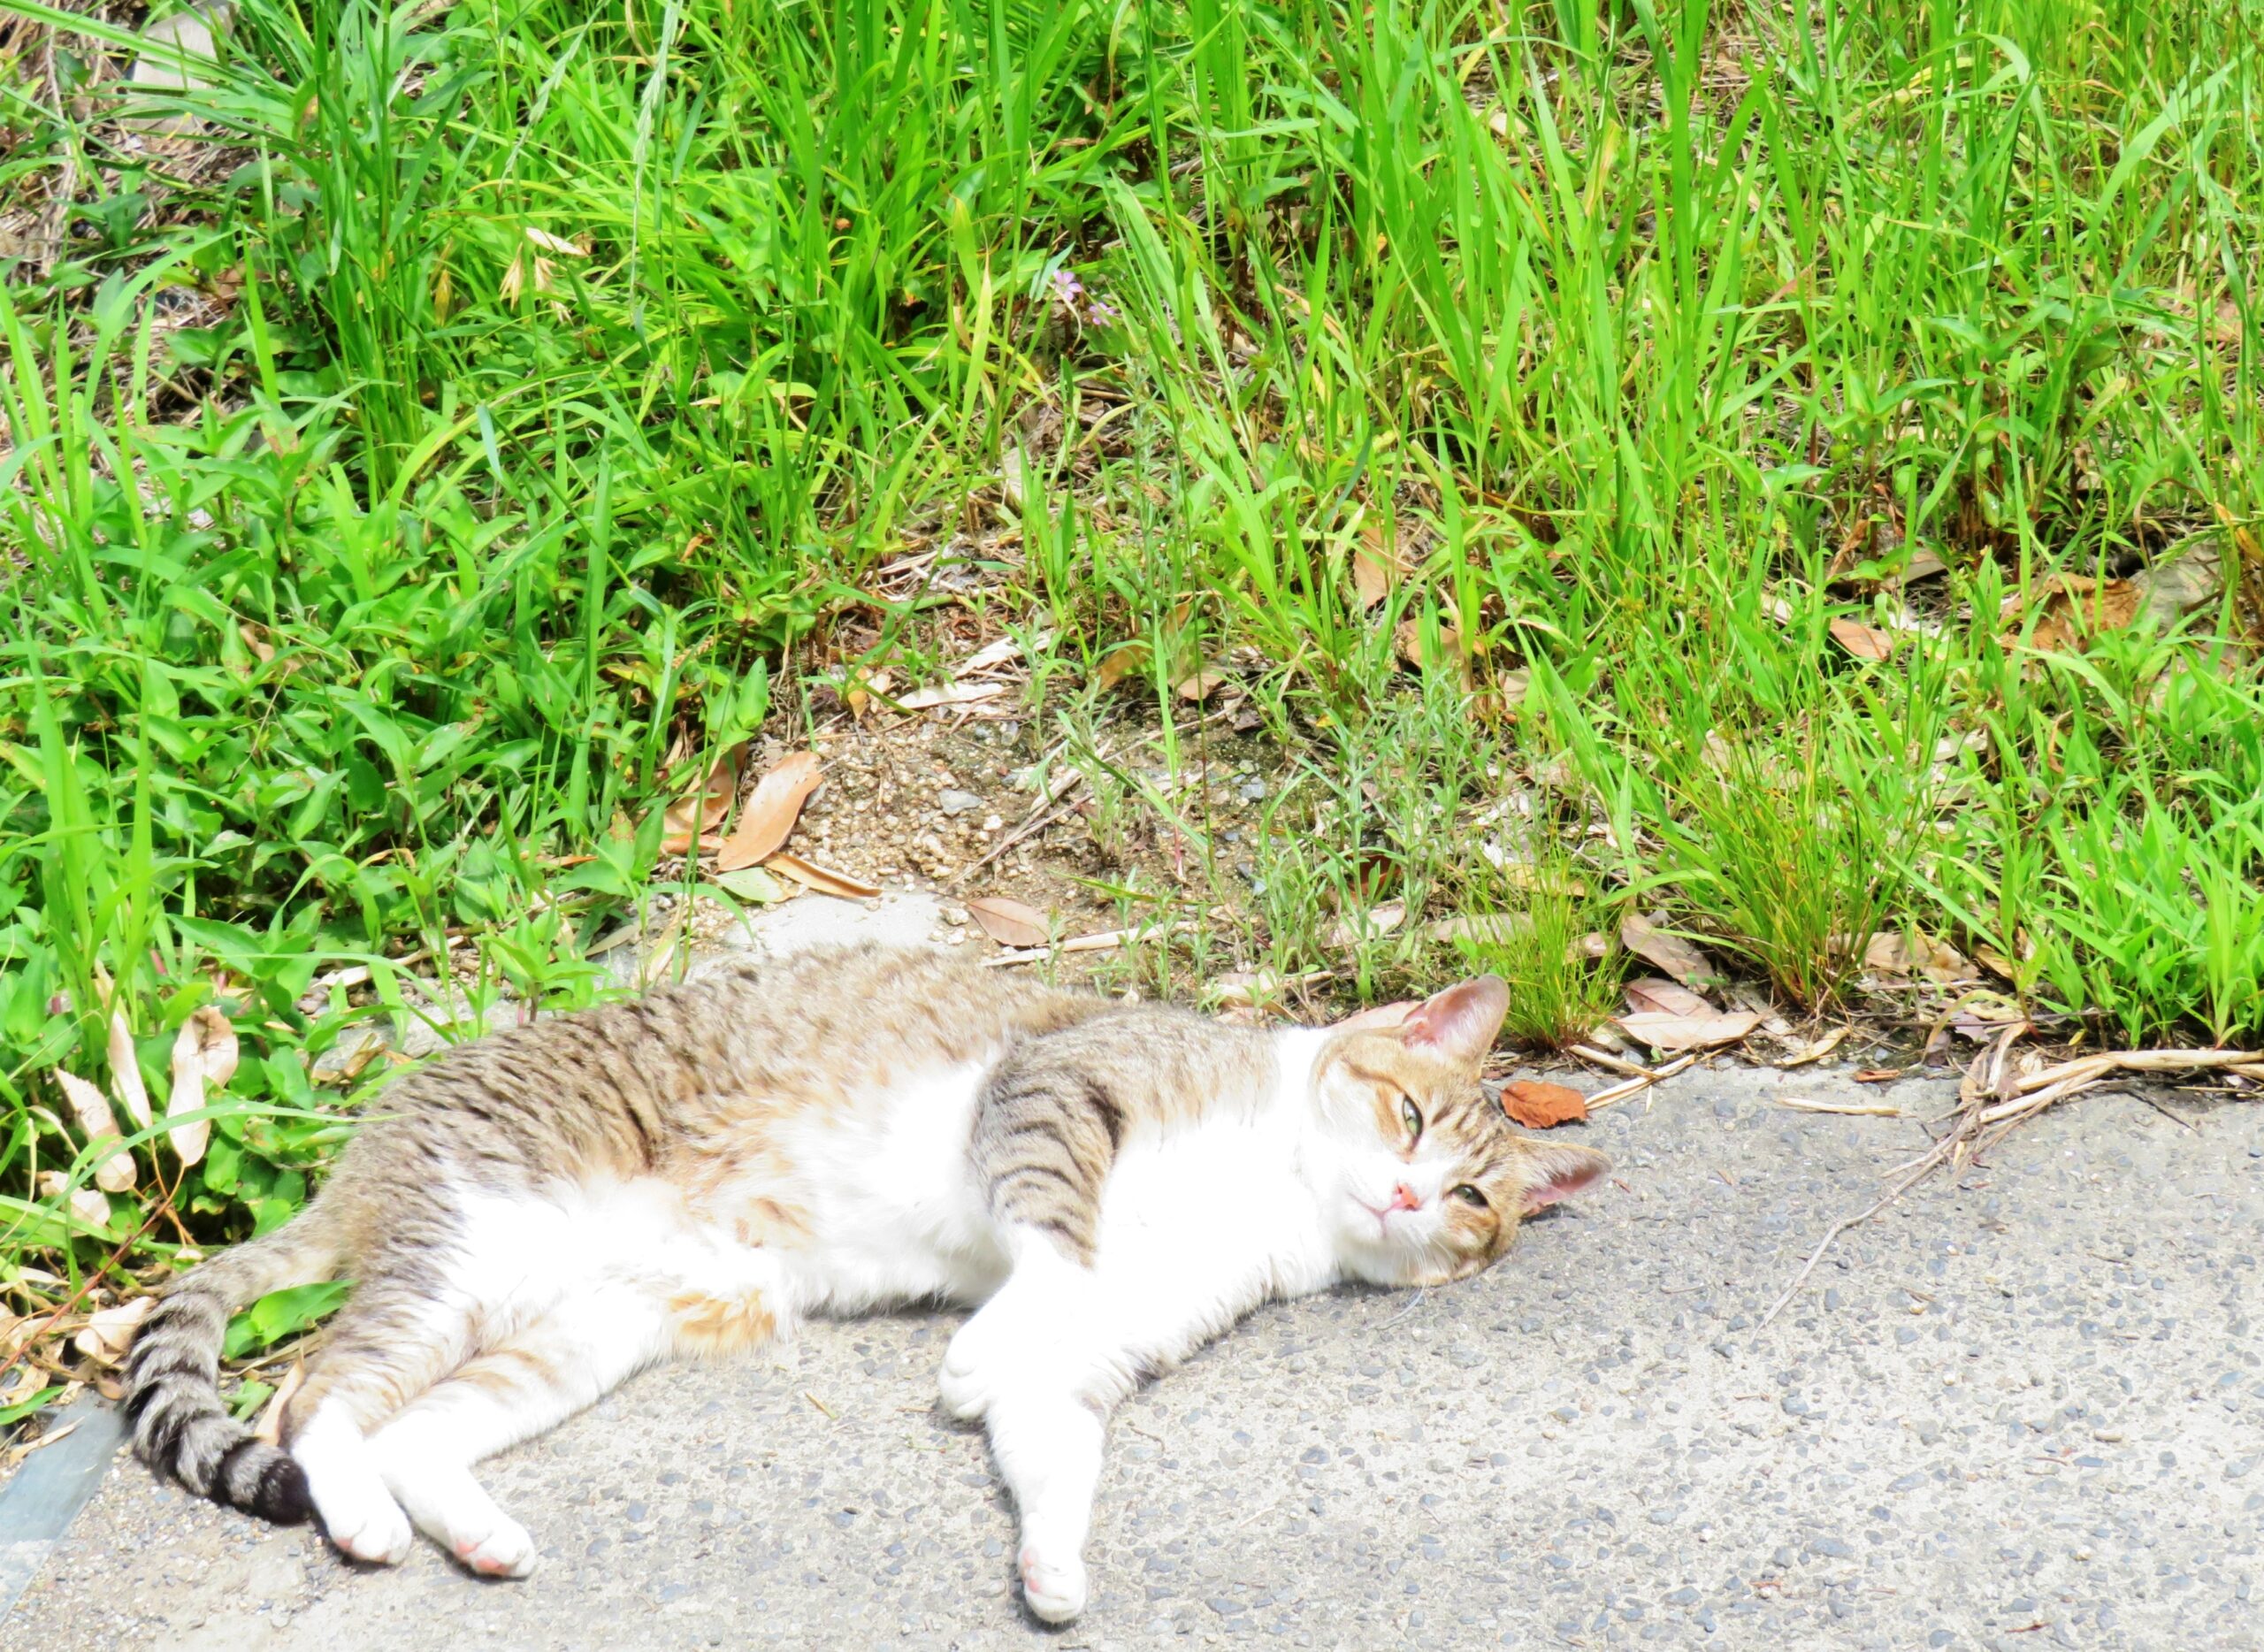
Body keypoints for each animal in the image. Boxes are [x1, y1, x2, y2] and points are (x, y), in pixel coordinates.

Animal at [128, 945, 1611, 1610]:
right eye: (1411, 1120)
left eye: (1476, 1202)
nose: (1412, 1198)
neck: (1279, 1191)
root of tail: (369, 1138)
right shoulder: (1052, 1091)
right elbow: (1052, 1245)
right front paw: (973, 1355)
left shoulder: (1107, 1350)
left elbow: (1056, 1442)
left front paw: (1053, 1565)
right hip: (461, 1254)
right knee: (316, 1399)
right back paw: (361, 1518)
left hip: (588, 1329)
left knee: (419, 1429)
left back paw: (472, 1532)